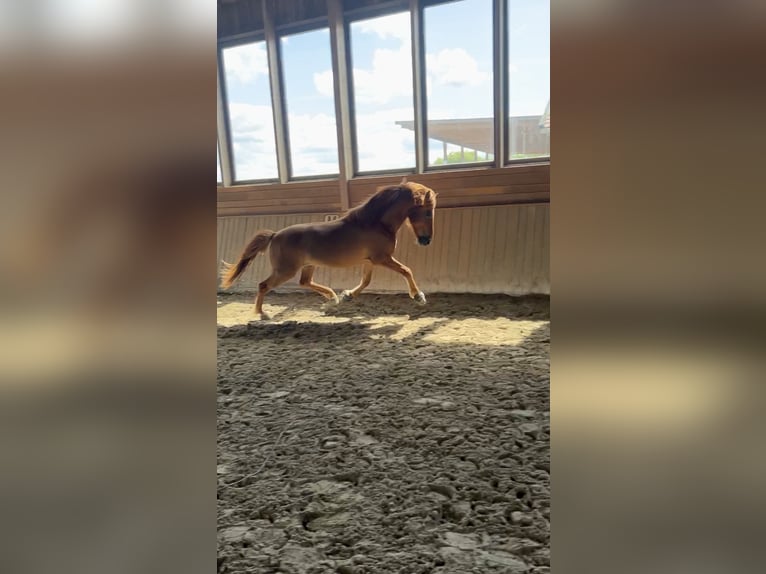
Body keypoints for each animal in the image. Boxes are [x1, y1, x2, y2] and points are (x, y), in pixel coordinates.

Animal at [219, 179, 437, 319]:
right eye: (427, 212)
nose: (426, 240)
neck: (375, 223)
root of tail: (275, 235)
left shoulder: (370, 261)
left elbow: (366, 281)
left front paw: (347, 295)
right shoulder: (382, 258)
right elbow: (406, 270)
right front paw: (419, 297)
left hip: (308, 266)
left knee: (305, 282)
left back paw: (332, 298)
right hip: (285, 270)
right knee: (264, 285)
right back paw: (262, 313)